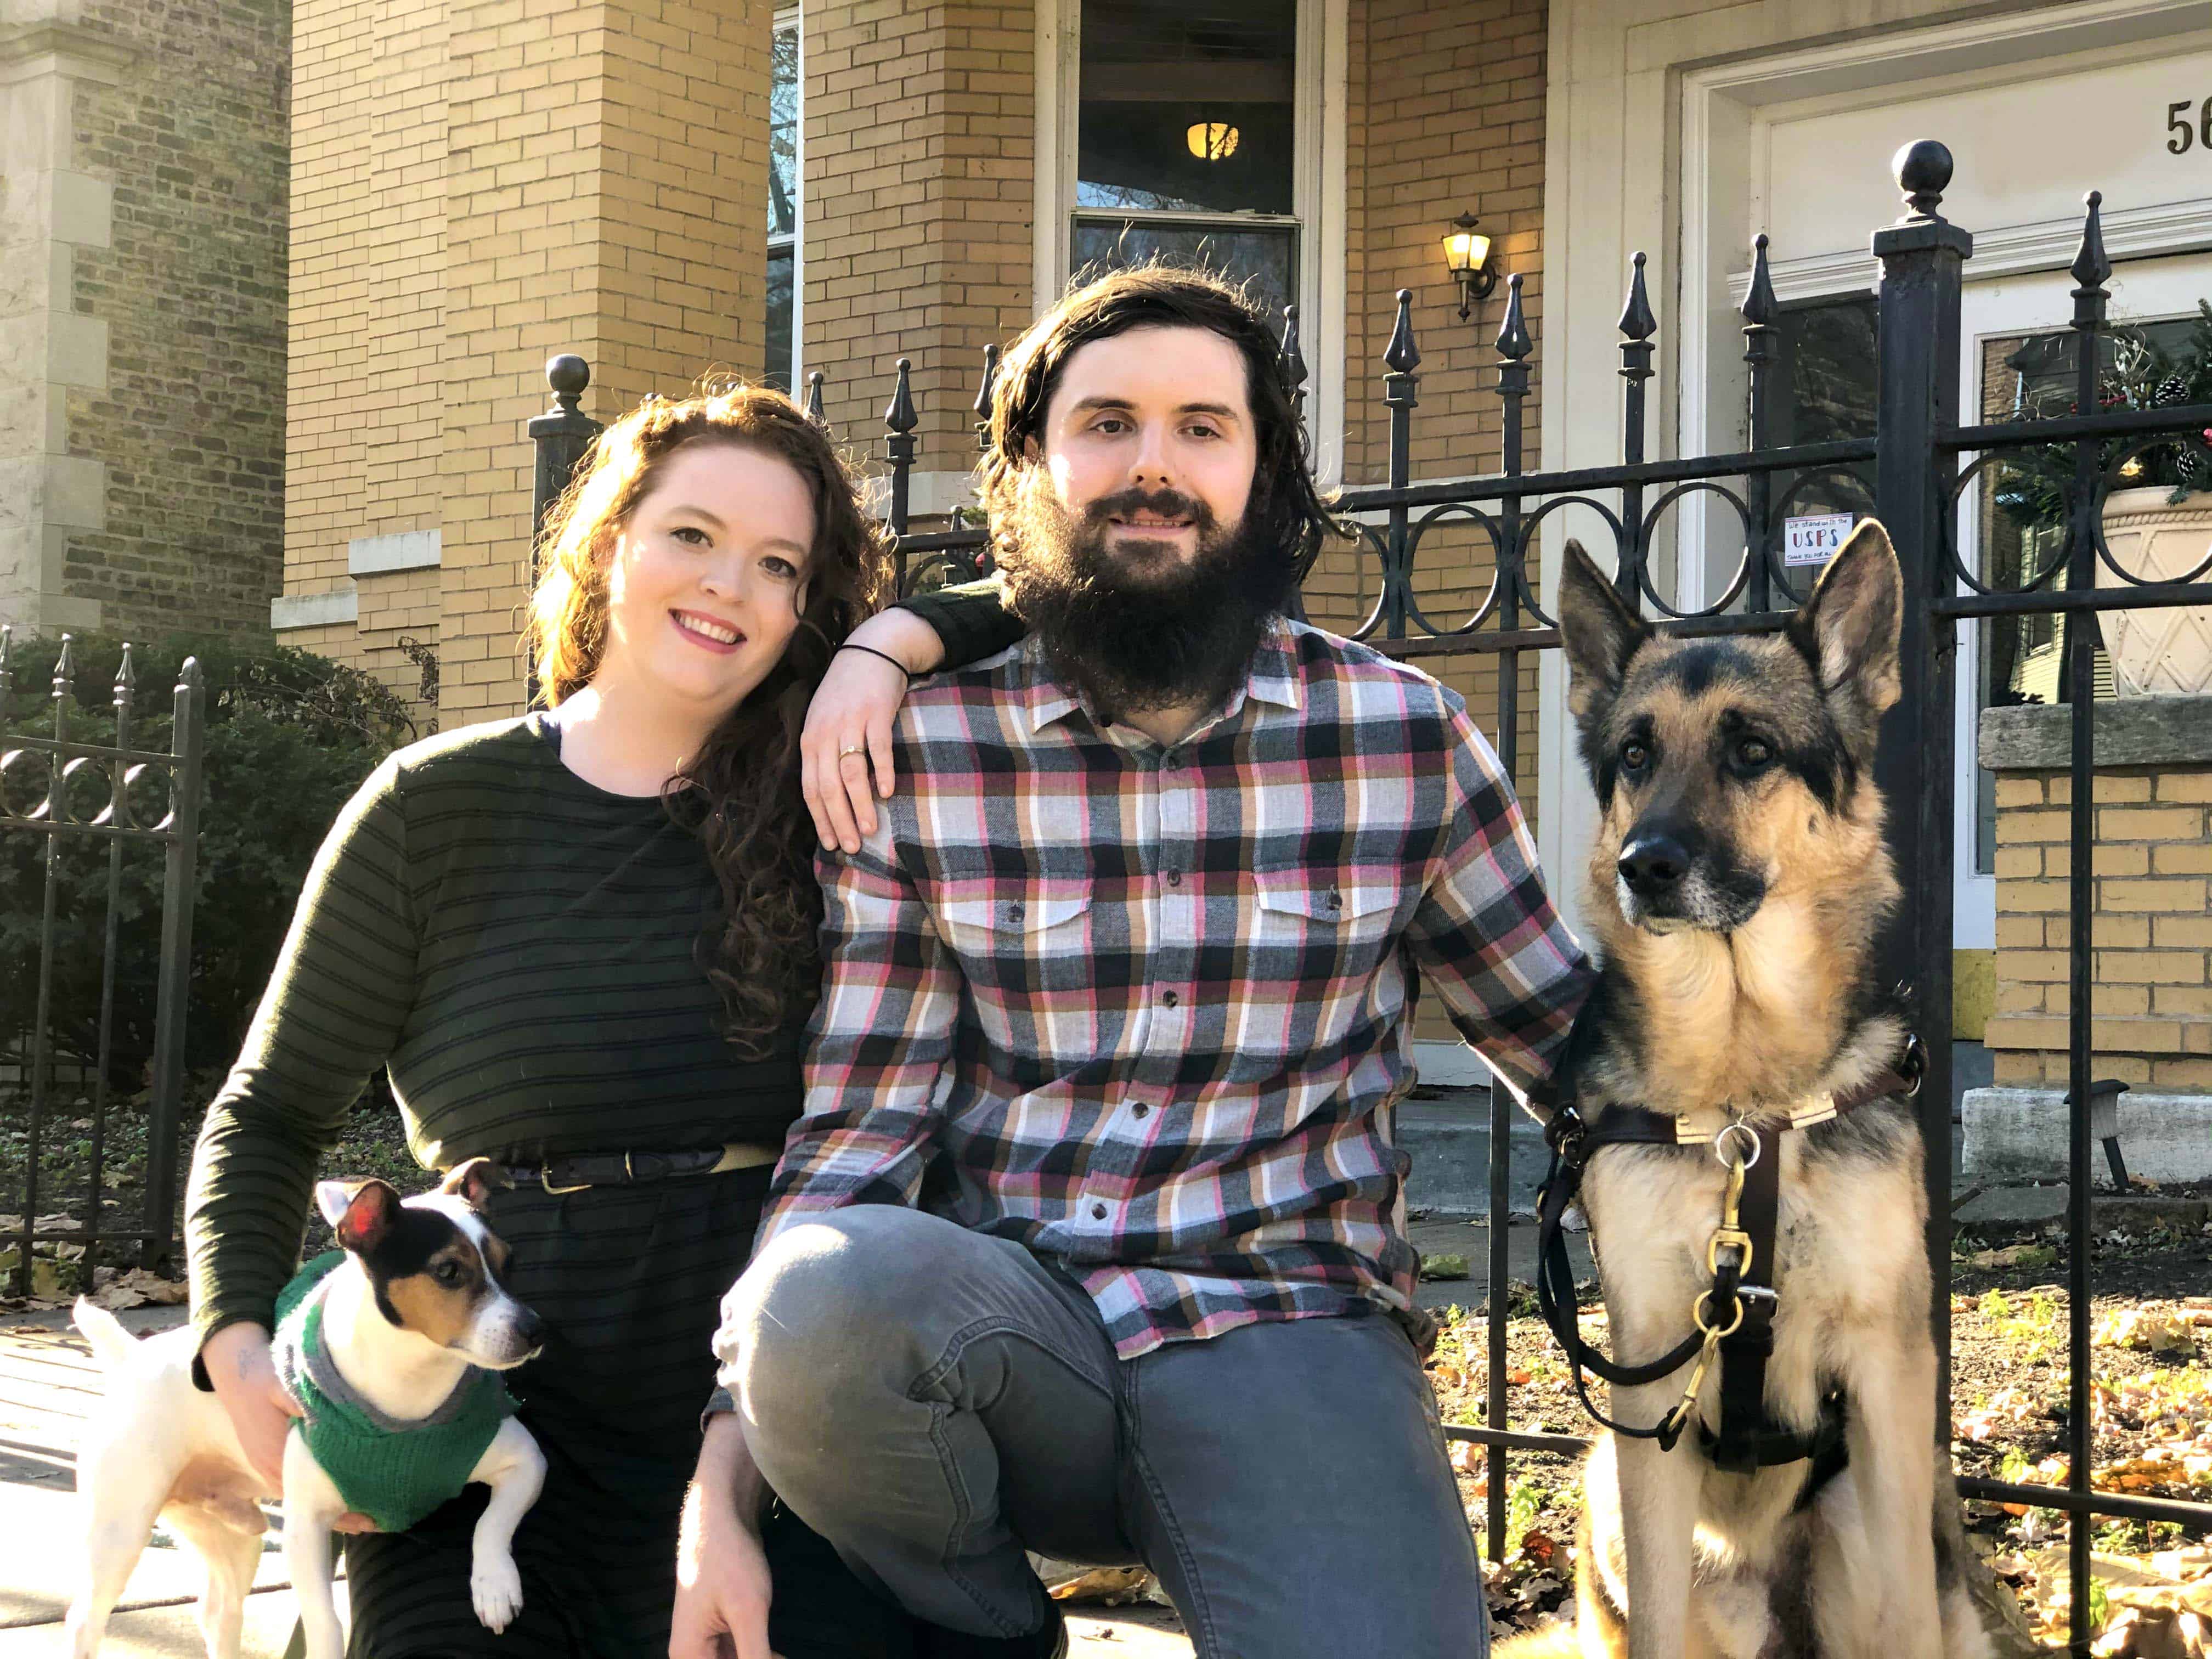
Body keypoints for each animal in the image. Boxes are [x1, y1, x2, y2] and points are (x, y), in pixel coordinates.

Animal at [64, 1159, 548, 1659]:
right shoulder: (305, 1528)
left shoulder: (527, 1464)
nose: (536, 1331)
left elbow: (492, 1524)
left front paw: (494, 1585)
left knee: (218, 1612)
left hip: (233, 1538)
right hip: (120, 1529)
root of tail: (130, 1356)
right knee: (85, 1619)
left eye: (509, 1262)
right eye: (449, 1270)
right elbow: (325, 1621)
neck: (409, 1392)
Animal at [1504, 522, 2008, 1659]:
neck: (1745, 1099)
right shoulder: (1650, 1387)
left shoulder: (1887, 1373)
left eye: (1751, 751)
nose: (1646, 864)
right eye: (1634, 754)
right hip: (1606, 1481)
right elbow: (1652, 1622)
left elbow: (1909, 1613)